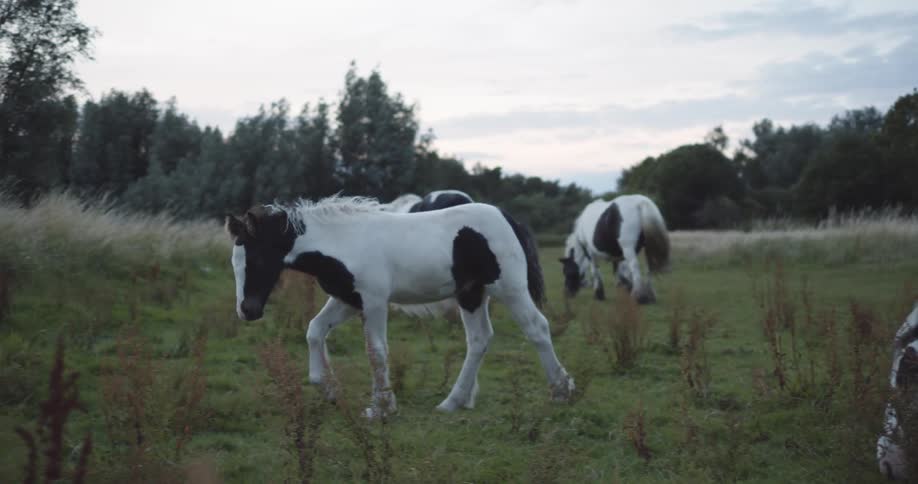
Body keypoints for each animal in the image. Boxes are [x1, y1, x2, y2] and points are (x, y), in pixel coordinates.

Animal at [225, 196, 574, 418]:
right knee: (479, 340)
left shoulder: (374, 301)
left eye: (257, 260)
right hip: (472, 295)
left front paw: (381, 407)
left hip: (510, 288)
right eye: (234, 262)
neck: (343, 242)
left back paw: (561, 391)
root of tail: (509, 219)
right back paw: (452, 402)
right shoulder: (347, 299)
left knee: (537, 327)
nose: (247, 311)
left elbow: (376, 351)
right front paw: (330, 389)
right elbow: (314, 331)